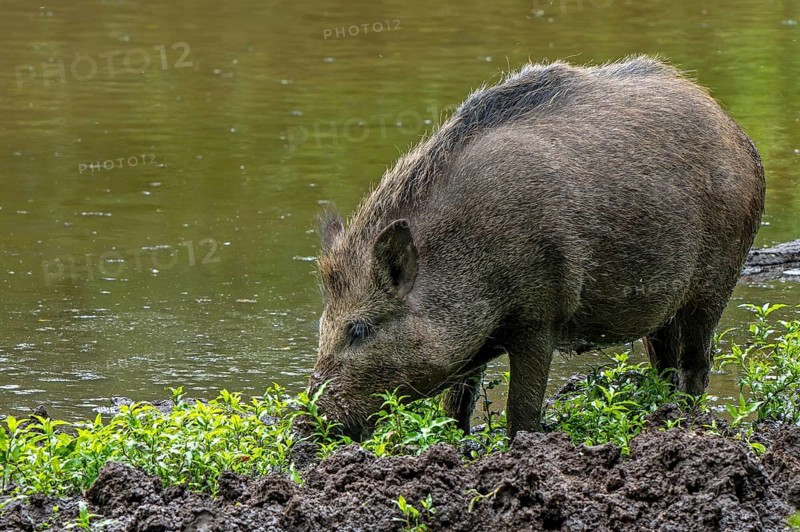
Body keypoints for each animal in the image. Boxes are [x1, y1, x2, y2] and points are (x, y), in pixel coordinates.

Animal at [310, 56, 765, 439]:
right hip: (664, 306)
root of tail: (737, 132)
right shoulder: (473, 346)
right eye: (322, 325)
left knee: (697, 362)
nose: (306, 426)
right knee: (664, 364)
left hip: (716, 282)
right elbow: (455, 407)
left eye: (359, 329)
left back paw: (685, 421)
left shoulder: (539, 317)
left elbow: (522, 409)